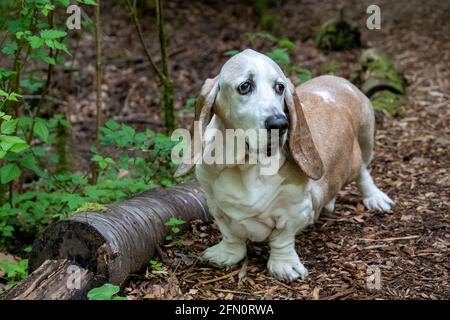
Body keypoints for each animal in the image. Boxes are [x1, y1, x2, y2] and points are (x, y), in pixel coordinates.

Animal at [174, 48, 392, 282]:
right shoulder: (217, 207)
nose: (280, 124)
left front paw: (285, 265)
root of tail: (340, 80)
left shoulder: (294, 211)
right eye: (245, 86)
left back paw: (375, 198)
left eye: (280, 87)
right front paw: (227, 254)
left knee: (362, 172)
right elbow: (231, 235)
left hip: (365, 141)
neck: (245, 166)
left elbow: (282, 239)